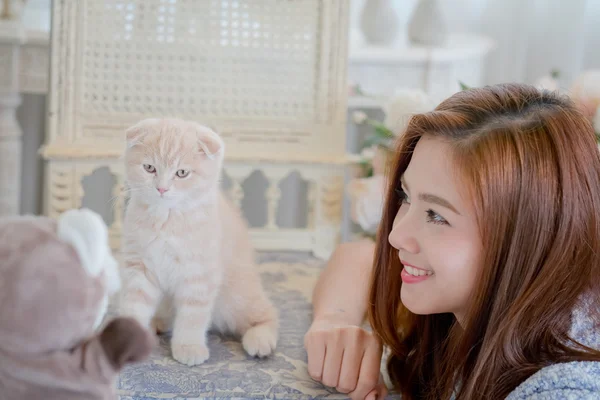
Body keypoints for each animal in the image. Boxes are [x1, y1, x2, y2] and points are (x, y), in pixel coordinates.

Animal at [119, 117, 278, 364]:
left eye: (182, 173)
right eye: (149, 168)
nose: (162, 188)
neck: (167, 219)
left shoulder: (199, 273)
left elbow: (193, 315)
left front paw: (188, 347)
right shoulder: (139, 267)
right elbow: (135, 304)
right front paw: (127, 341)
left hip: (237, 297)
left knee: (266, 313)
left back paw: (261, 340)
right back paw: (157, 323)